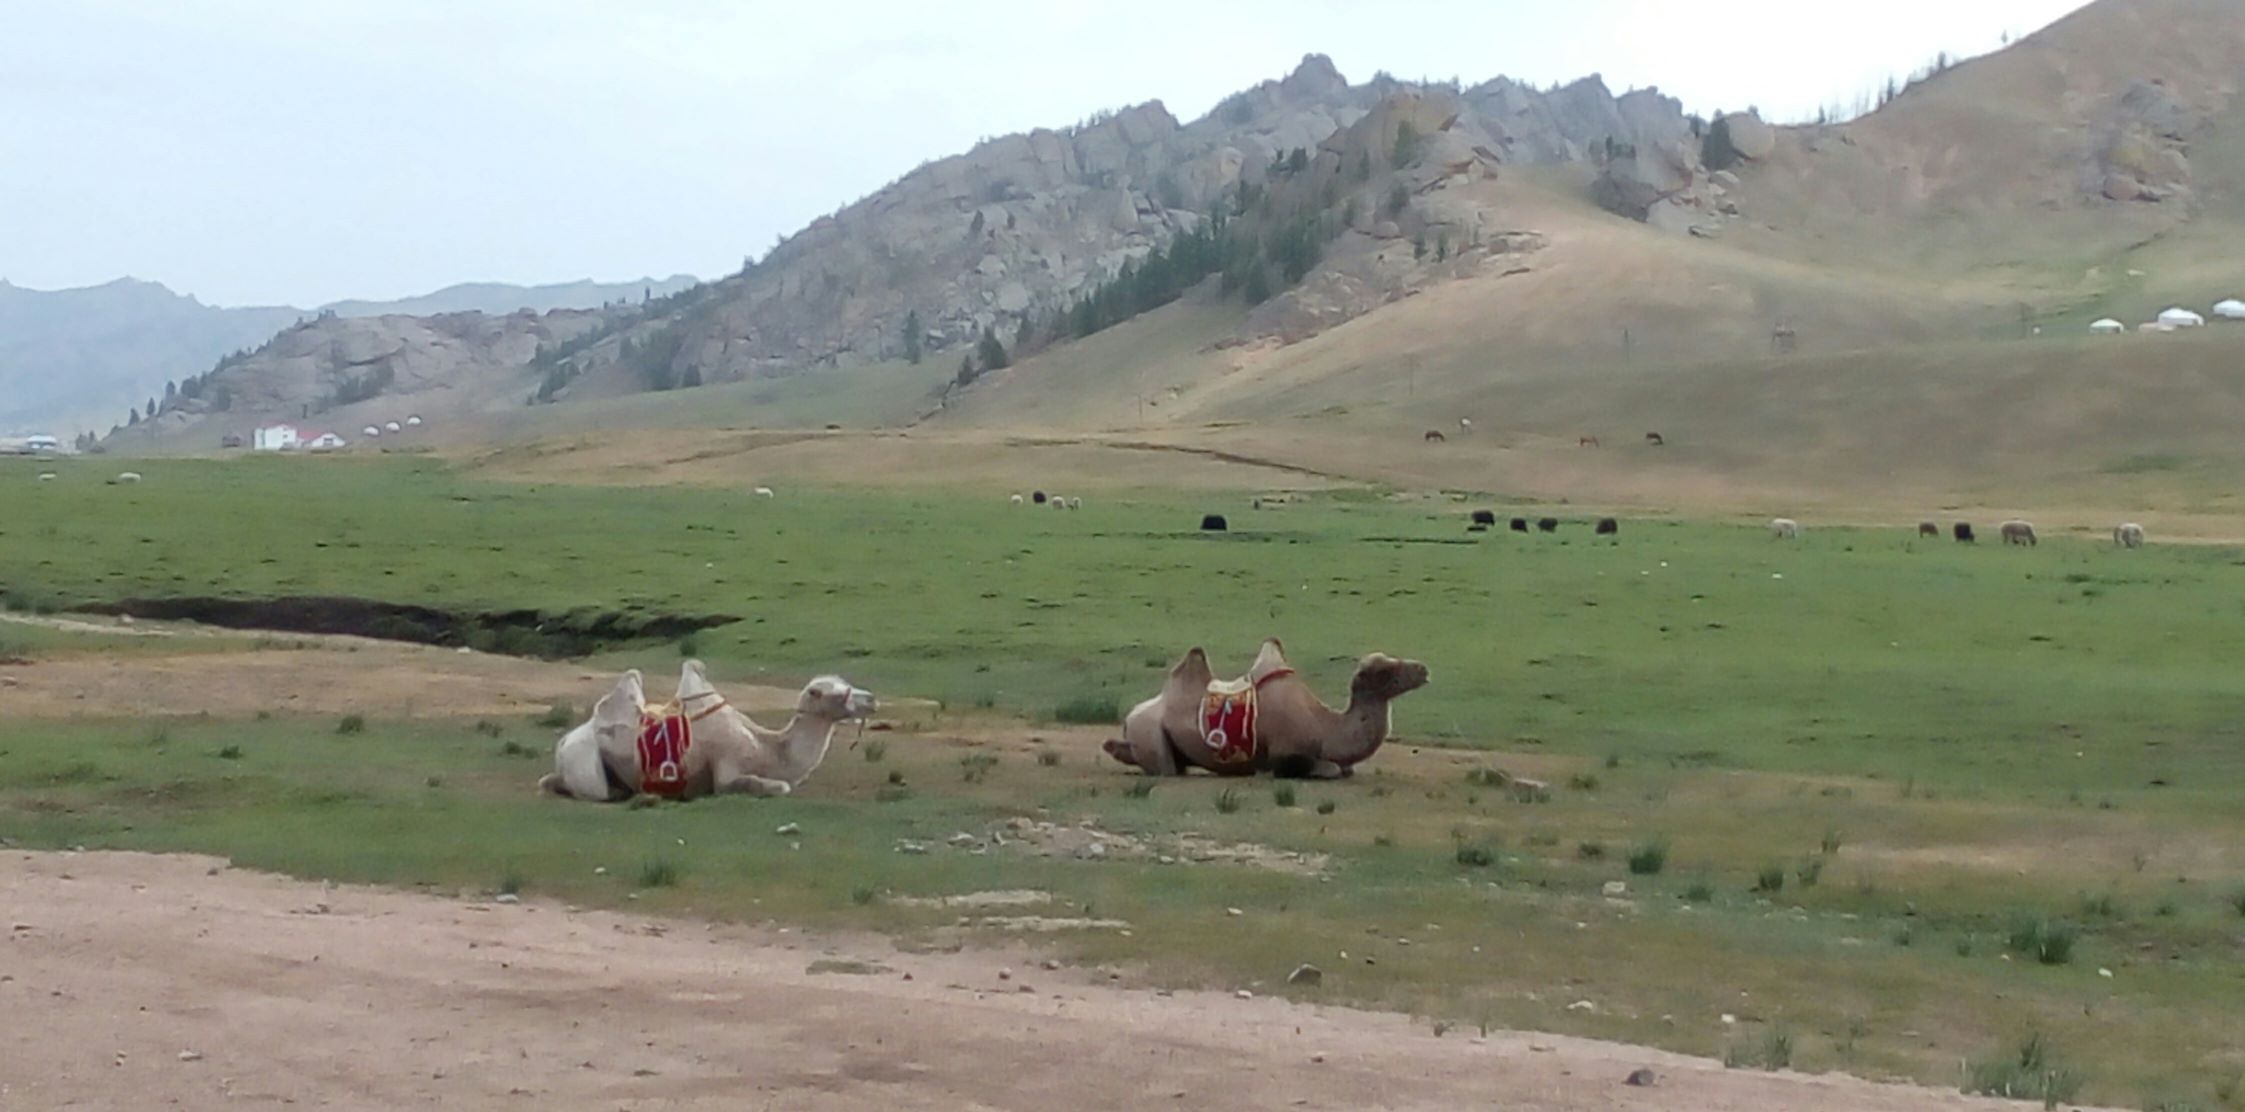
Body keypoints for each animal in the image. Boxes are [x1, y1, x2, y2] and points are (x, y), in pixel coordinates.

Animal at [540, 660, 875, 802]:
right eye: (841, 693)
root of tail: (563, 742)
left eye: (845, 684)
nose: (872, 699)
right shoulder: (727, 764)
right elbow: (774, 786)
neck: (765, 748)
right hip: (586, 763)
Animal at [1103, 638, 1429, 780]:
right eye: (1385, 671)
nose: (1423, 669)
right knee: (1166, 768)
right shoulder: (1285, 754)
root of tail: (1129, 717)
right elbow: (1331, 769)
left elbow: (1345, 768)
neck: (1325, 726)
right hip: (1149, 734)